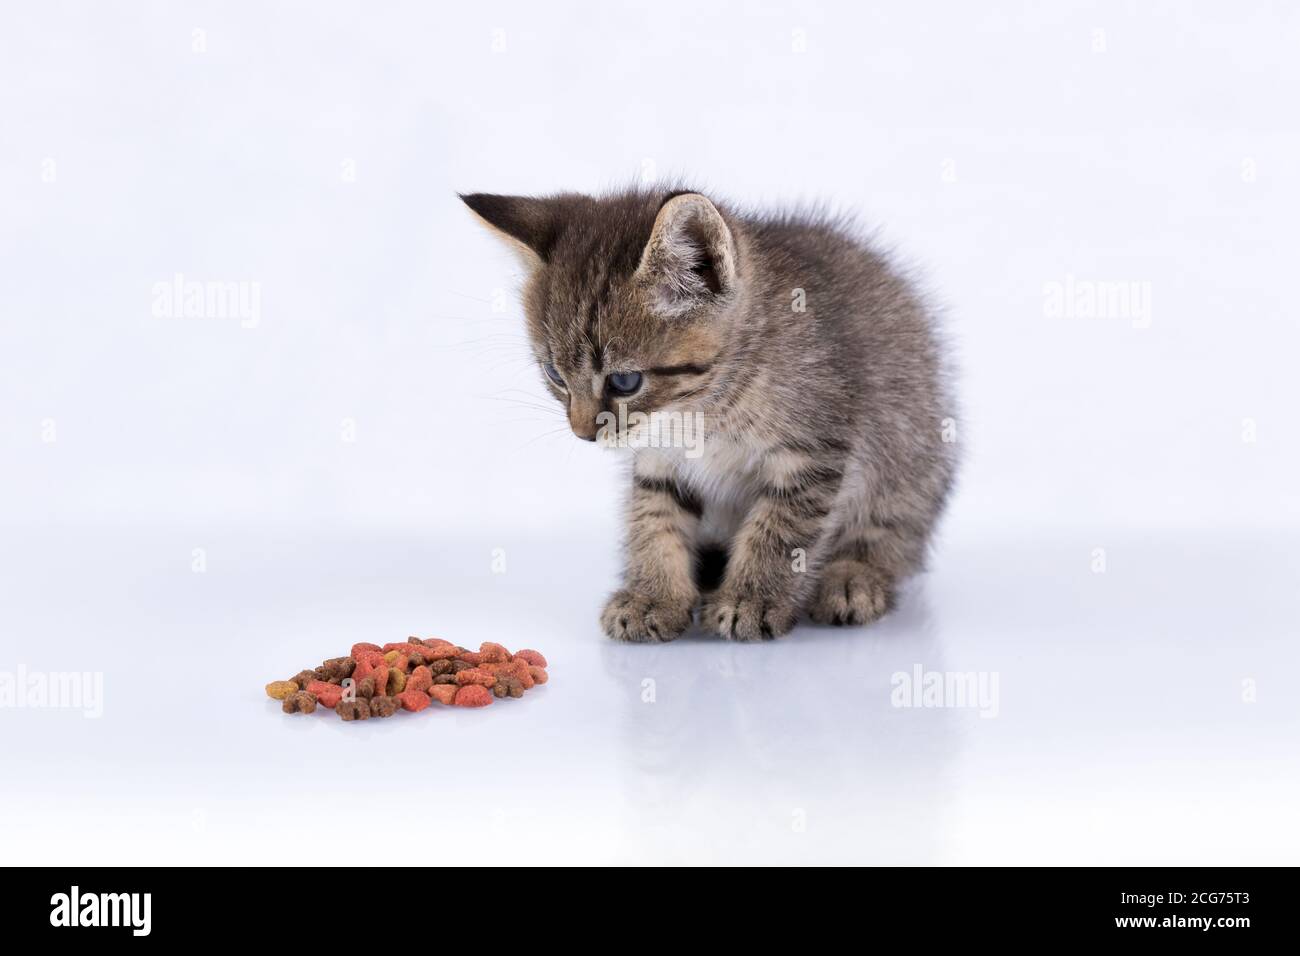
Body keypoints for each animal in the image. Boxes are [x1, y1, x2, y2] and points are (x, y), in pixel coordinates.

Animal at [457, 187, 956, 642]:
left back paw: (853, 577)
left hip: (911, 447)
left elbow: (779, 529)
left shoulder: (814, 451)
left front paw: (750, 599)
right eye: (554, 374)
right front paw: (653, 596)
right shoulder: (657, 459)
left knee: (893, 531)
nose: (583, 433)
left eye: (624, 382)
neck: (703, 411)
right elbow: (654, 520)